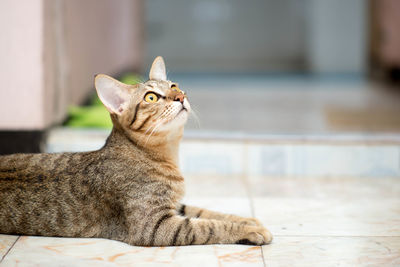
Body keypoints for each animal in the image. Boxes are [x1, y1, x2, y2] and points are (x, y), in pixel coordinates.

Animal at [0, 56, 272, 247]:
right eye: (151, 97)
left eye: (174, 85)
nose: (180, 95)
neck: (164, 155)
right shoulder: (152, 225)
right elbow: (206, 226)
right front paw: (250, 230)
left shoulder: (175, 205)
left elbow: (205, 212)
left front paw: (246, 218)